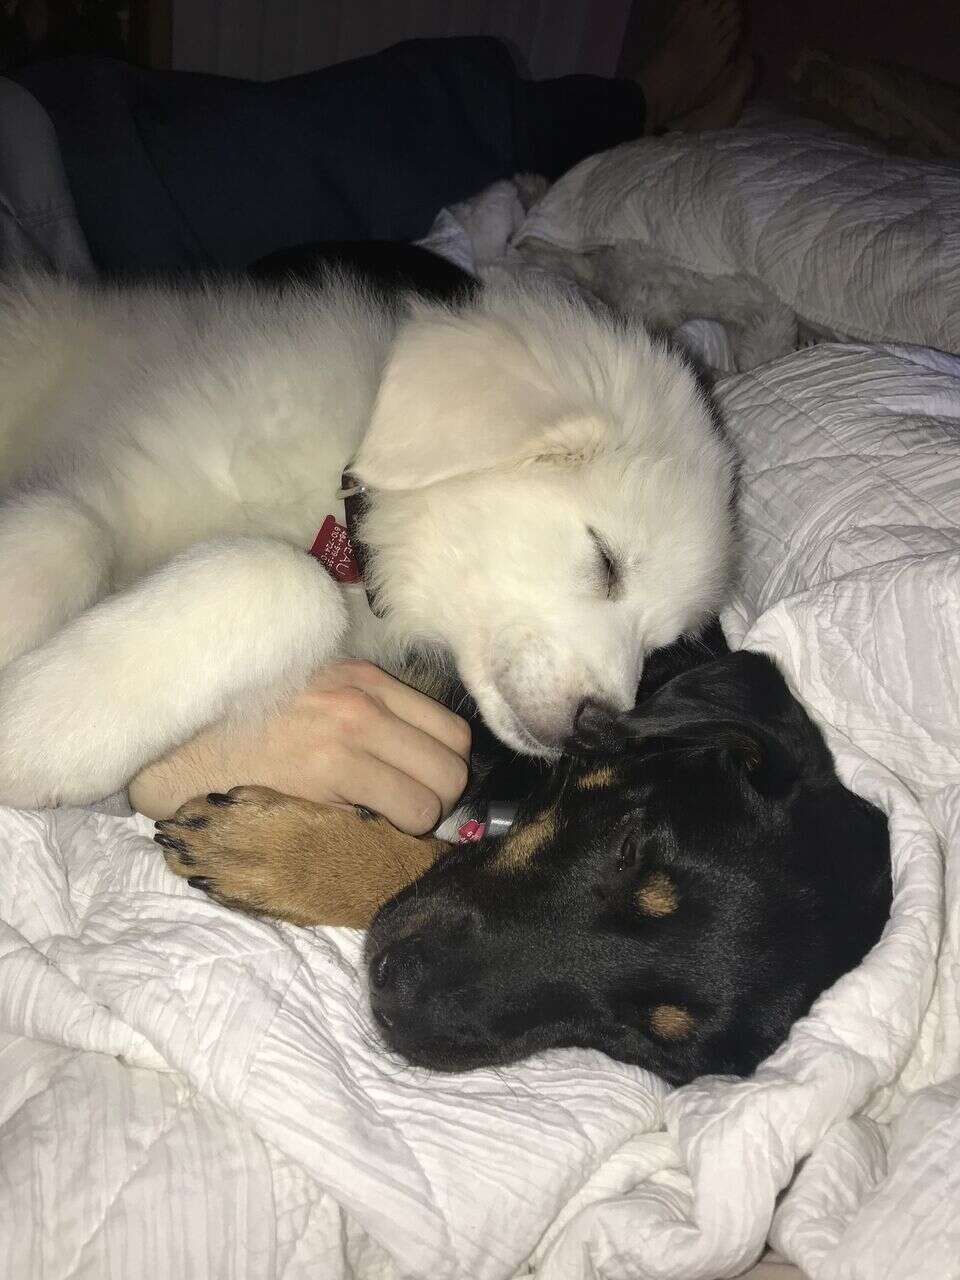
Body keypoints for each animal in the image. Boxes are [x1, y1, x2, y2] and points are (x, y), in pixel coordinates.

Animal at [0, 272, 737, 808]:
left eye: (659, 647)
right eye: (607, 561)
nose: (602, 730)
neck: (343, 518)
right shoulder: (123, 481)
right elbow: (71, 529)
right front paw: (37, 724)